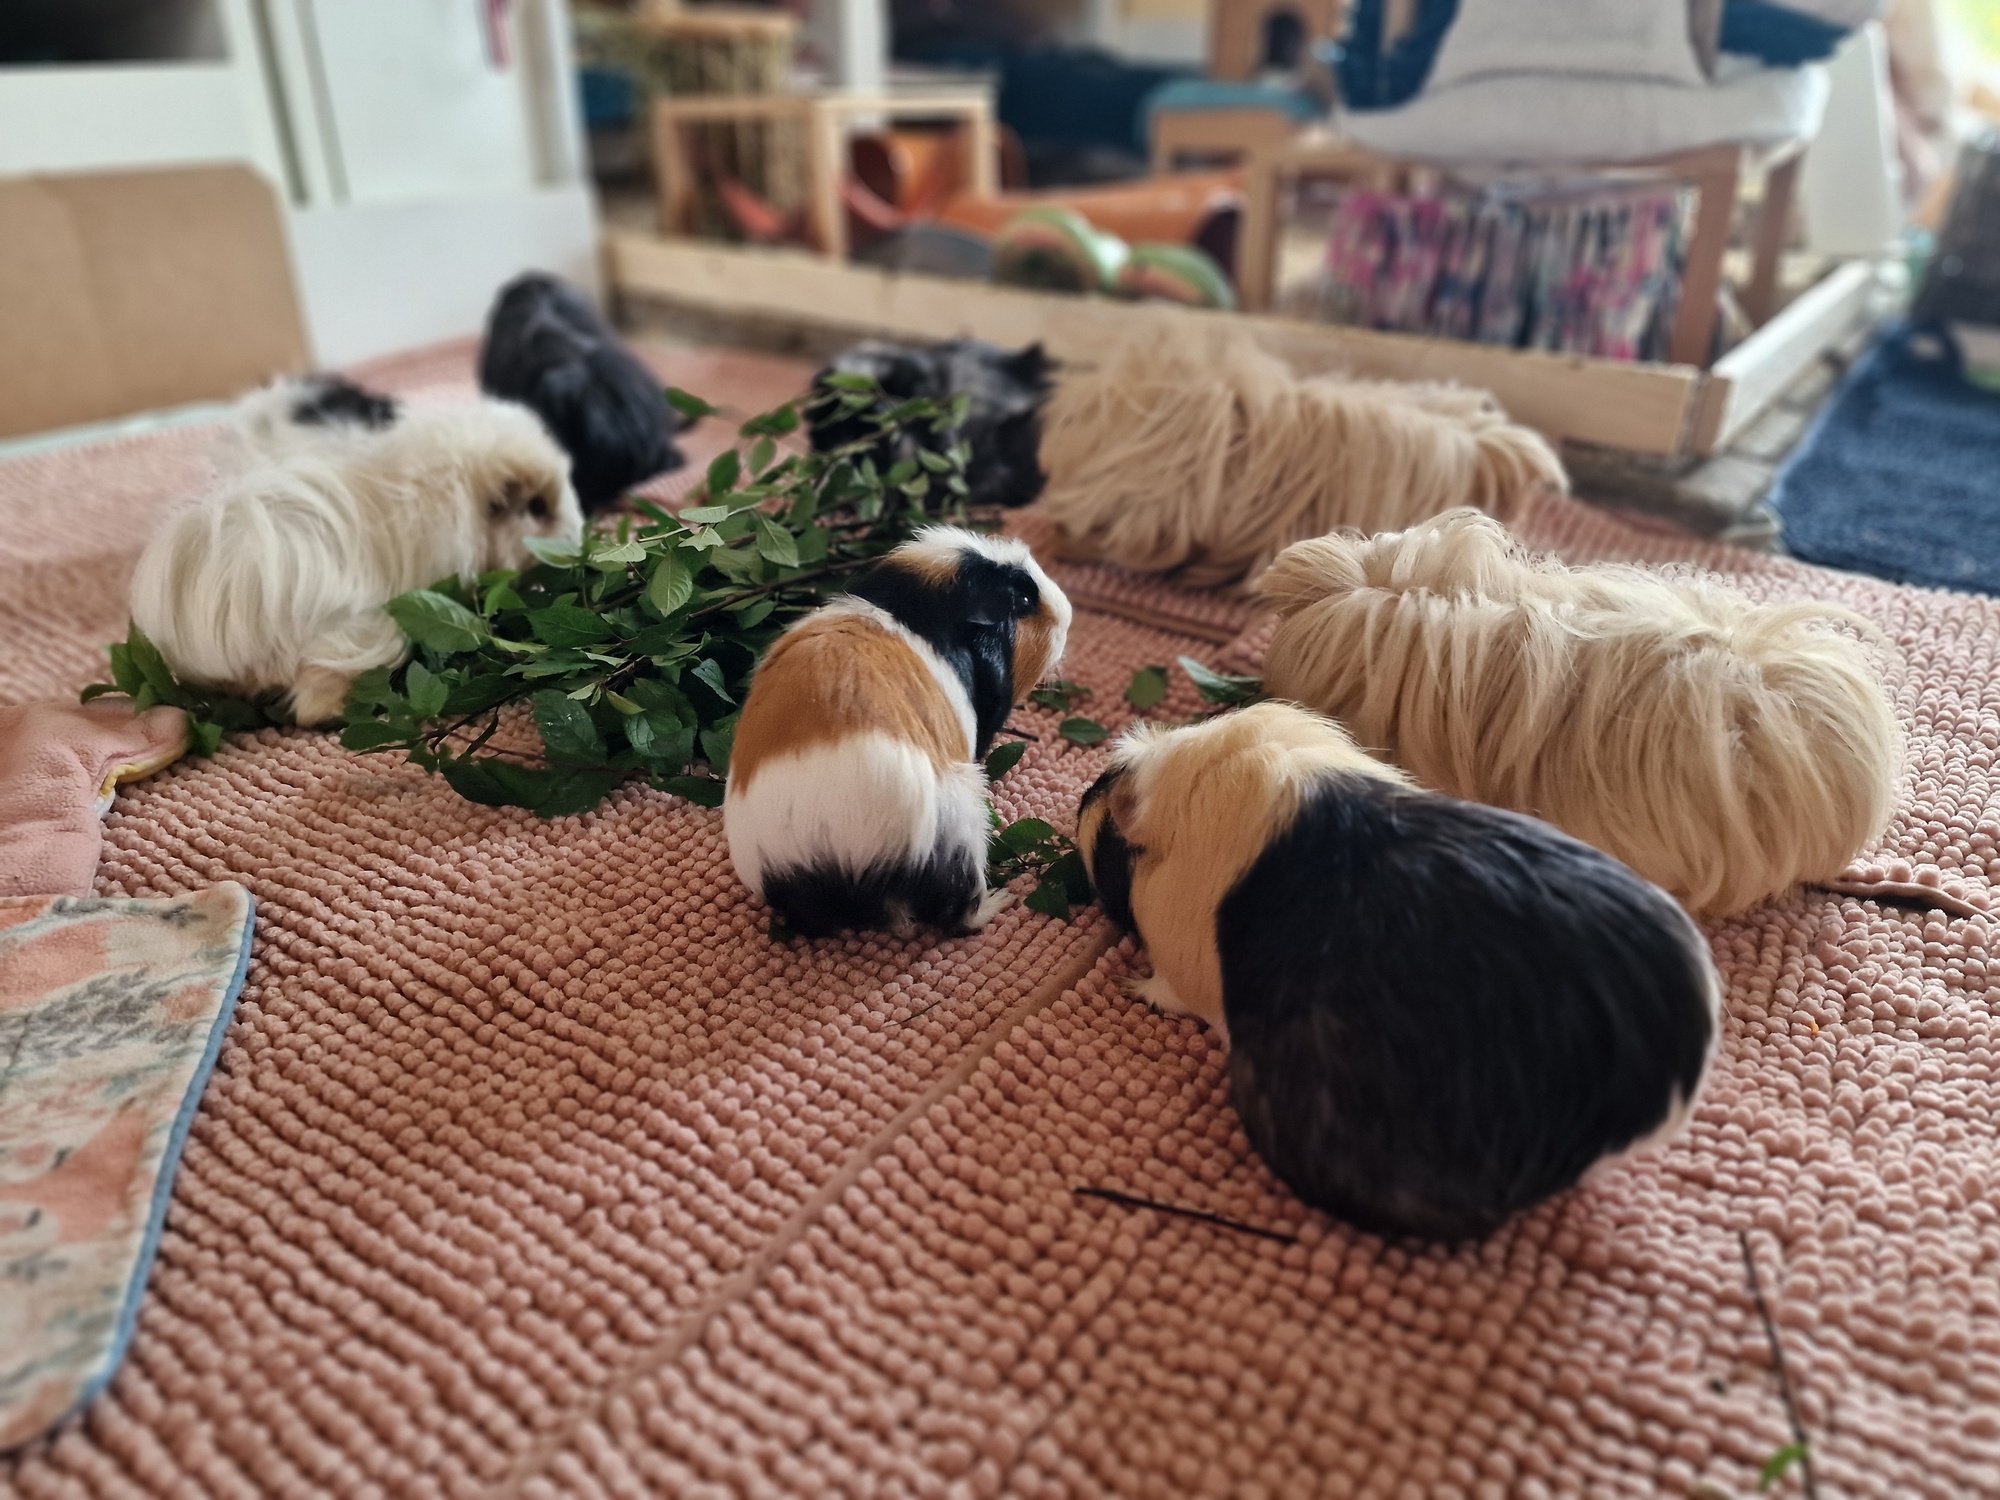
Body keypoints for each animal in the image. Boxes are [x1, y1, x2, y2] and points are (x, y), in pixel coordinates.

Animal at [725, 526, 1071, 939]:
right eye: (1023, 599)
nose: (1068, 614)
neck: (915, 614)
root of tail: (834, 848)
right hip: (962, 829)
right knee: (958, 913)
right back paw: (1000, 900)